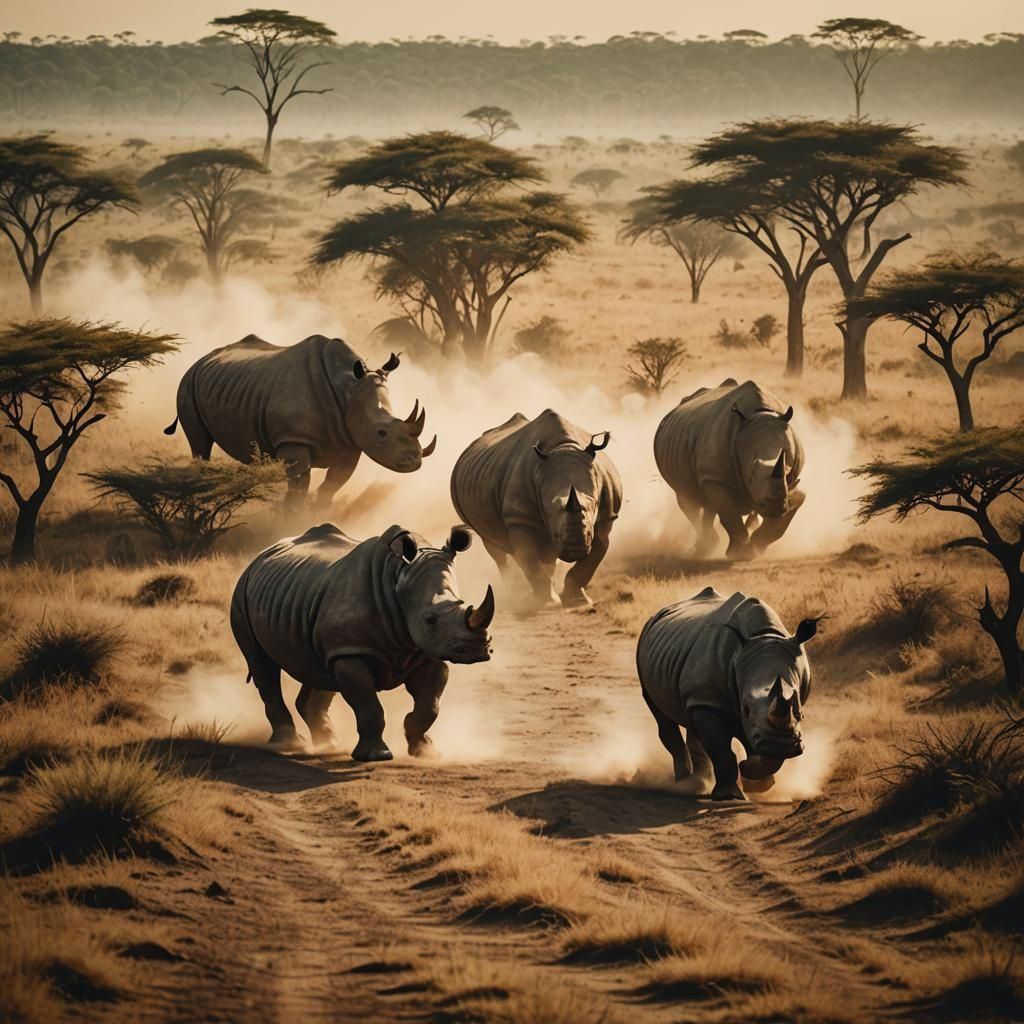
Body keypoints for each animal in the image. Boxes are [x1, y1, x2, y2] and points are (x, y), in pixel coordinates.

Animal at [165, 334, 436, 508]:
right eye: (381, 433)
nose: (415, 460)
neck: (349, 389)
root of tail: (200, 361)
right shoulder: (293, 440)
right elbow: (298, 486)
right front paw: (291, 523)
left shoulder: (351, 442)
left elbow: (332, 485)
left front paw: (319, 515)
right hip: (186, 385)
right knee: (200, 444)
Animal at [230, 522, 494, 760]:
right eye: (430, 620)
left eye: (462, 605)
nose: (478, 650)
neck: (398, 579)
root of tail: (259, 557)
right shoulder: (352, 651)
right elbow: (369, 706)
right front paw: (377, 756)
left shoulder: (426, 651)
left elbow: (430, 705)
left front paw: (425, 751)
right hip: (241, 594)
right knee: (262, 665)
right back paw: (291, 744)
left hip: (300, 594)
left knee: (319, 670)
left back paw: (329, 744)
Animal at [450, 409, 622, 608]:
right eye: (548, 508)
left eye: (593, 504)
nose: (575, 548)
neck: (564, 447)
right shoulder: (519, 517)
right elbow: (528, 556)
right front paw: (548, 603)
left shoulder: (605, 516)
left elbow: (595, 555)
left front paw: (578, 602)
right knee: (495, 547)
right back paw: (513, 594)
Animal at [637, 587, 819, 800]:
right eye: (746, 709)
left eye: (799, 711)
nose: (779, 744)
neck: (763, 638)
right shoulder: (709, 701)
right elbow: (721, 750)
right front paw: (730, 794)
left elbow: (764, 751)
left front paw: (757, 782)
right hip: (646, 644)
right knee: (660, 713)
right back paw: (685, 784)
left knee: (691, 718)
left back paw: (700, 781)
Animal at [654, 379, 805, 560]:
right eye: (751, 475)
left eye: (788, 472)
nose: (774, 505)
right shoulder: (716, 476)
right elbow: (729, 516)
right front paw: (740, 554)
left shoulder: (792, 481)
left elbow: (786, 516)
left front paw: (757, 548)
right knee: (688, 500)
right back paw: (704, 548)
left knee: (707, 504)